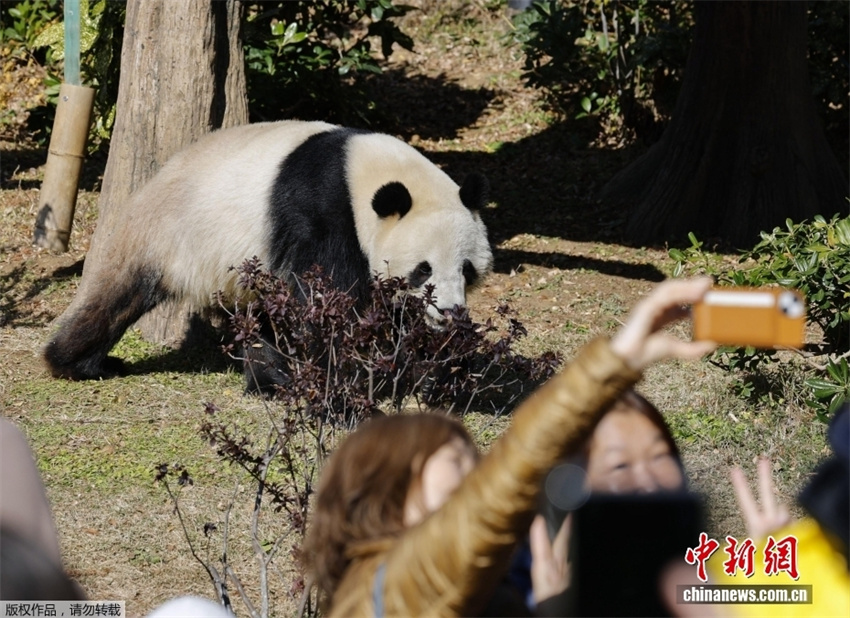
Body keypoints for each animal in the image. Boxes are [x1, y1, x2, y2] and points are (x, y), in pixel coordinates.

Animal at [43, 120, 493, 390]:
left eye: (466, 269)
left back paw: (271, 382)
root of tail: (155, 178)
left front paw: (434, 369)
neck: (363, 173)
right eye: (422, 269)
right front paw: (343, 376)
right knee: (115, 297)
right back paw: (76, 364)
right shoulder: (321, 210)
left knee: (261, 319)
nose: (449, 311)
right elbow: (326, 298)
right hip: (167, 233)